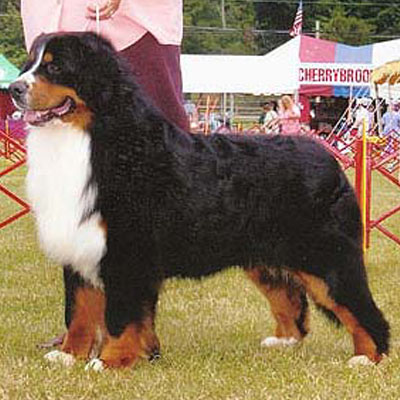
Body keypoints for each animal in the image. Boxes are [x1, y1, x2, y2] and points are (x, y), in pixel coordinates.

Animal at [10, 32, 389, 370]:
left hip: (326, 257)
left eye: (55, 67)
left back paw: (368, 357)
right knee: (290, 299)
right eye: (30, 65)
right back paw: (283, 341)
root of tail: (327, 158)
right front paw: (69, 355)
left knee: (360, 307)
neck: (92, 137)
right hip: (265, 257)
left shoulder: (126, 252)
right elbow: (79, 311)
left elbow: (120, 315)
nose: (14, 89)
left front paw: (111, 361)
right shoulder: (80, 245)